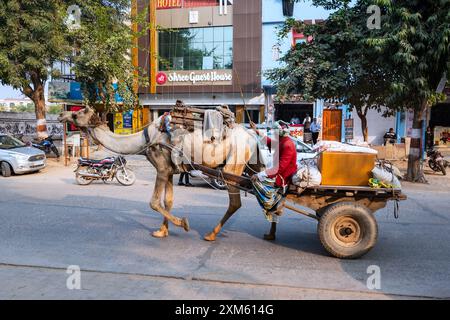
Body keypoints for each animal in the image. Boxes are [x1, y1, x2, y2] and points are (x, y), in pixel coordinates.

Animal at [57, 106, 268, 241]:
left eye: (78, 113)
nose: (61, 114)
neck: (145, 139)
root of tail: (252, 136)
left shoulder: (161, 168)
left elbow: (153, 202)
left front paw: (184, 223)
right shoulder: (169, 170)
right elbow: (168, 201)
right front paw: (162, 231)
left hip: (234, 162)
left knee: (235, 202)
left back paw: (211, 234)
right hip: (253, 162)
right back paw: (270, 232)